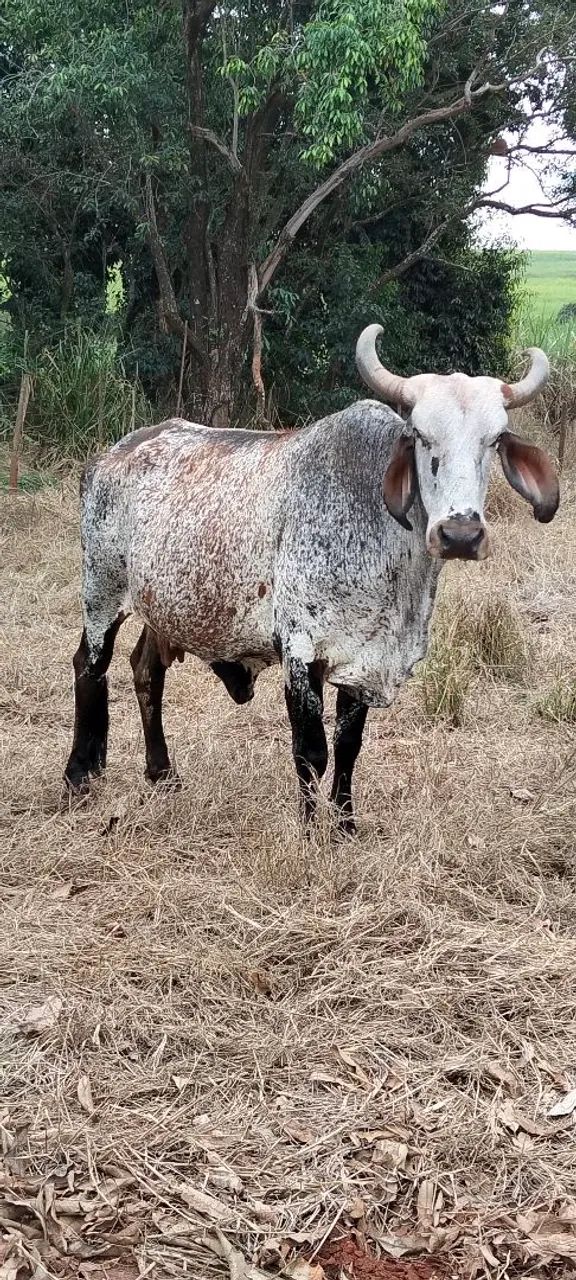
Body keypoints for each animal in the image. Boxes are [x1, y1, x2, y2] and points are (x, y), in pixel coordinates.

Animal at [64, 325, 558, 832]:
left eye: (494, 440)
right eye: (420, 436)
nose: (460, 534)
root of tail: (110, 455)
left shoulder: (362, 662)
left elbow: (348, 747)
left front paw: (344, 823)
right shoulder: (301, 652)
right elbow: (310, 751)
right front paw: (307, 827)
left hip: (161, 607)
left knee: (146, 669)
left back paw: (162, 772)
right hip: (101, 591)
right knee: (89, 666)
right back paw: (80, 773)